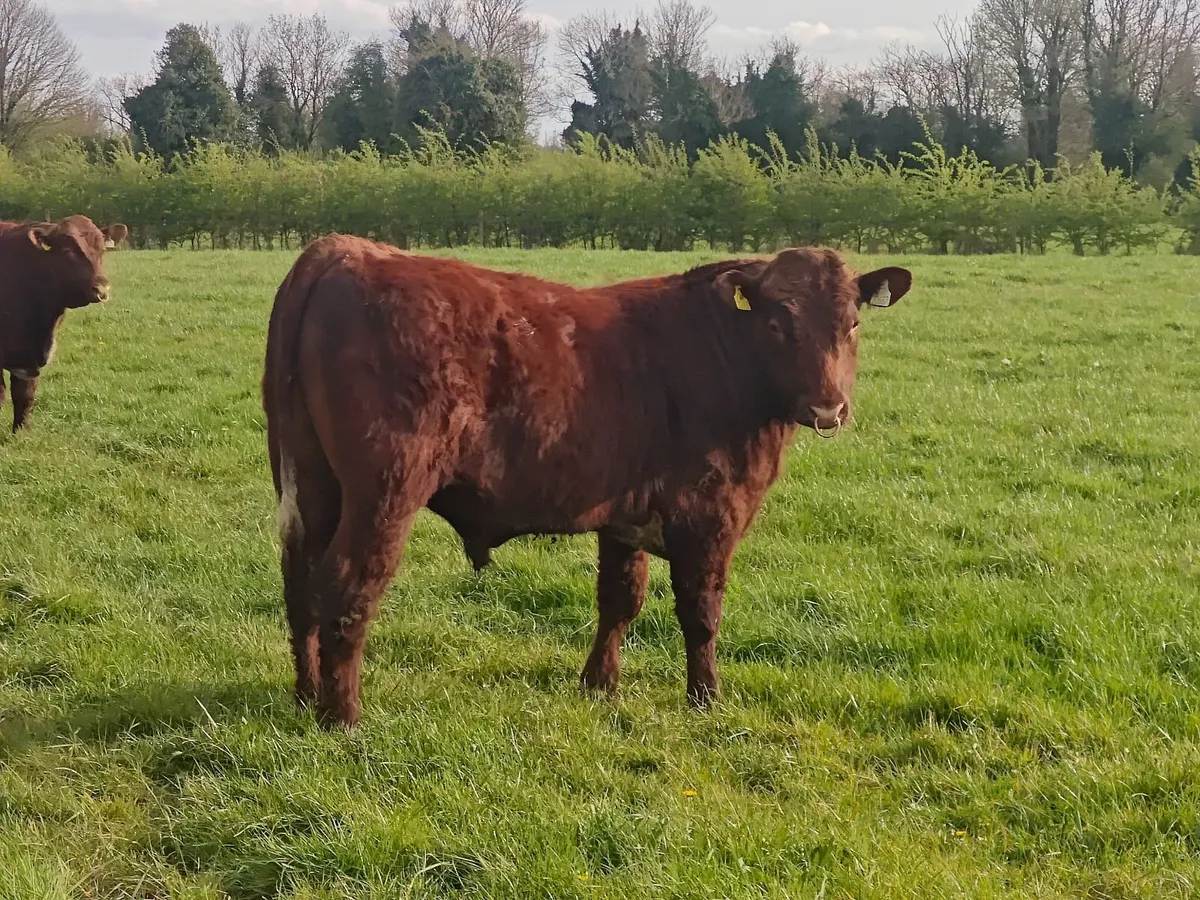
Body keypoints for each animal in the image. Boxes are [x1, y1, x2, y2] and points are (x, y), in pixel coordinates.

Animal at [262, 235, 912, 728]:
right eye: (778, 323)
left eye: (853, 323)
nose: (828, 408)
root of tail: (345, 250)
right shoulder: (712, 516)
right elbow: (702, 613)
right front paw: (705, 699)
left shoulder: (625, 515)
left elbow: (620, 598)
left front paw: (600, 685)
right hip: (385, 492)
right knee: (347, 586)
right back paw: (343, 715)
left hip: (313, 486)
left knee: (301, 584)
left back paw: (306, 695)